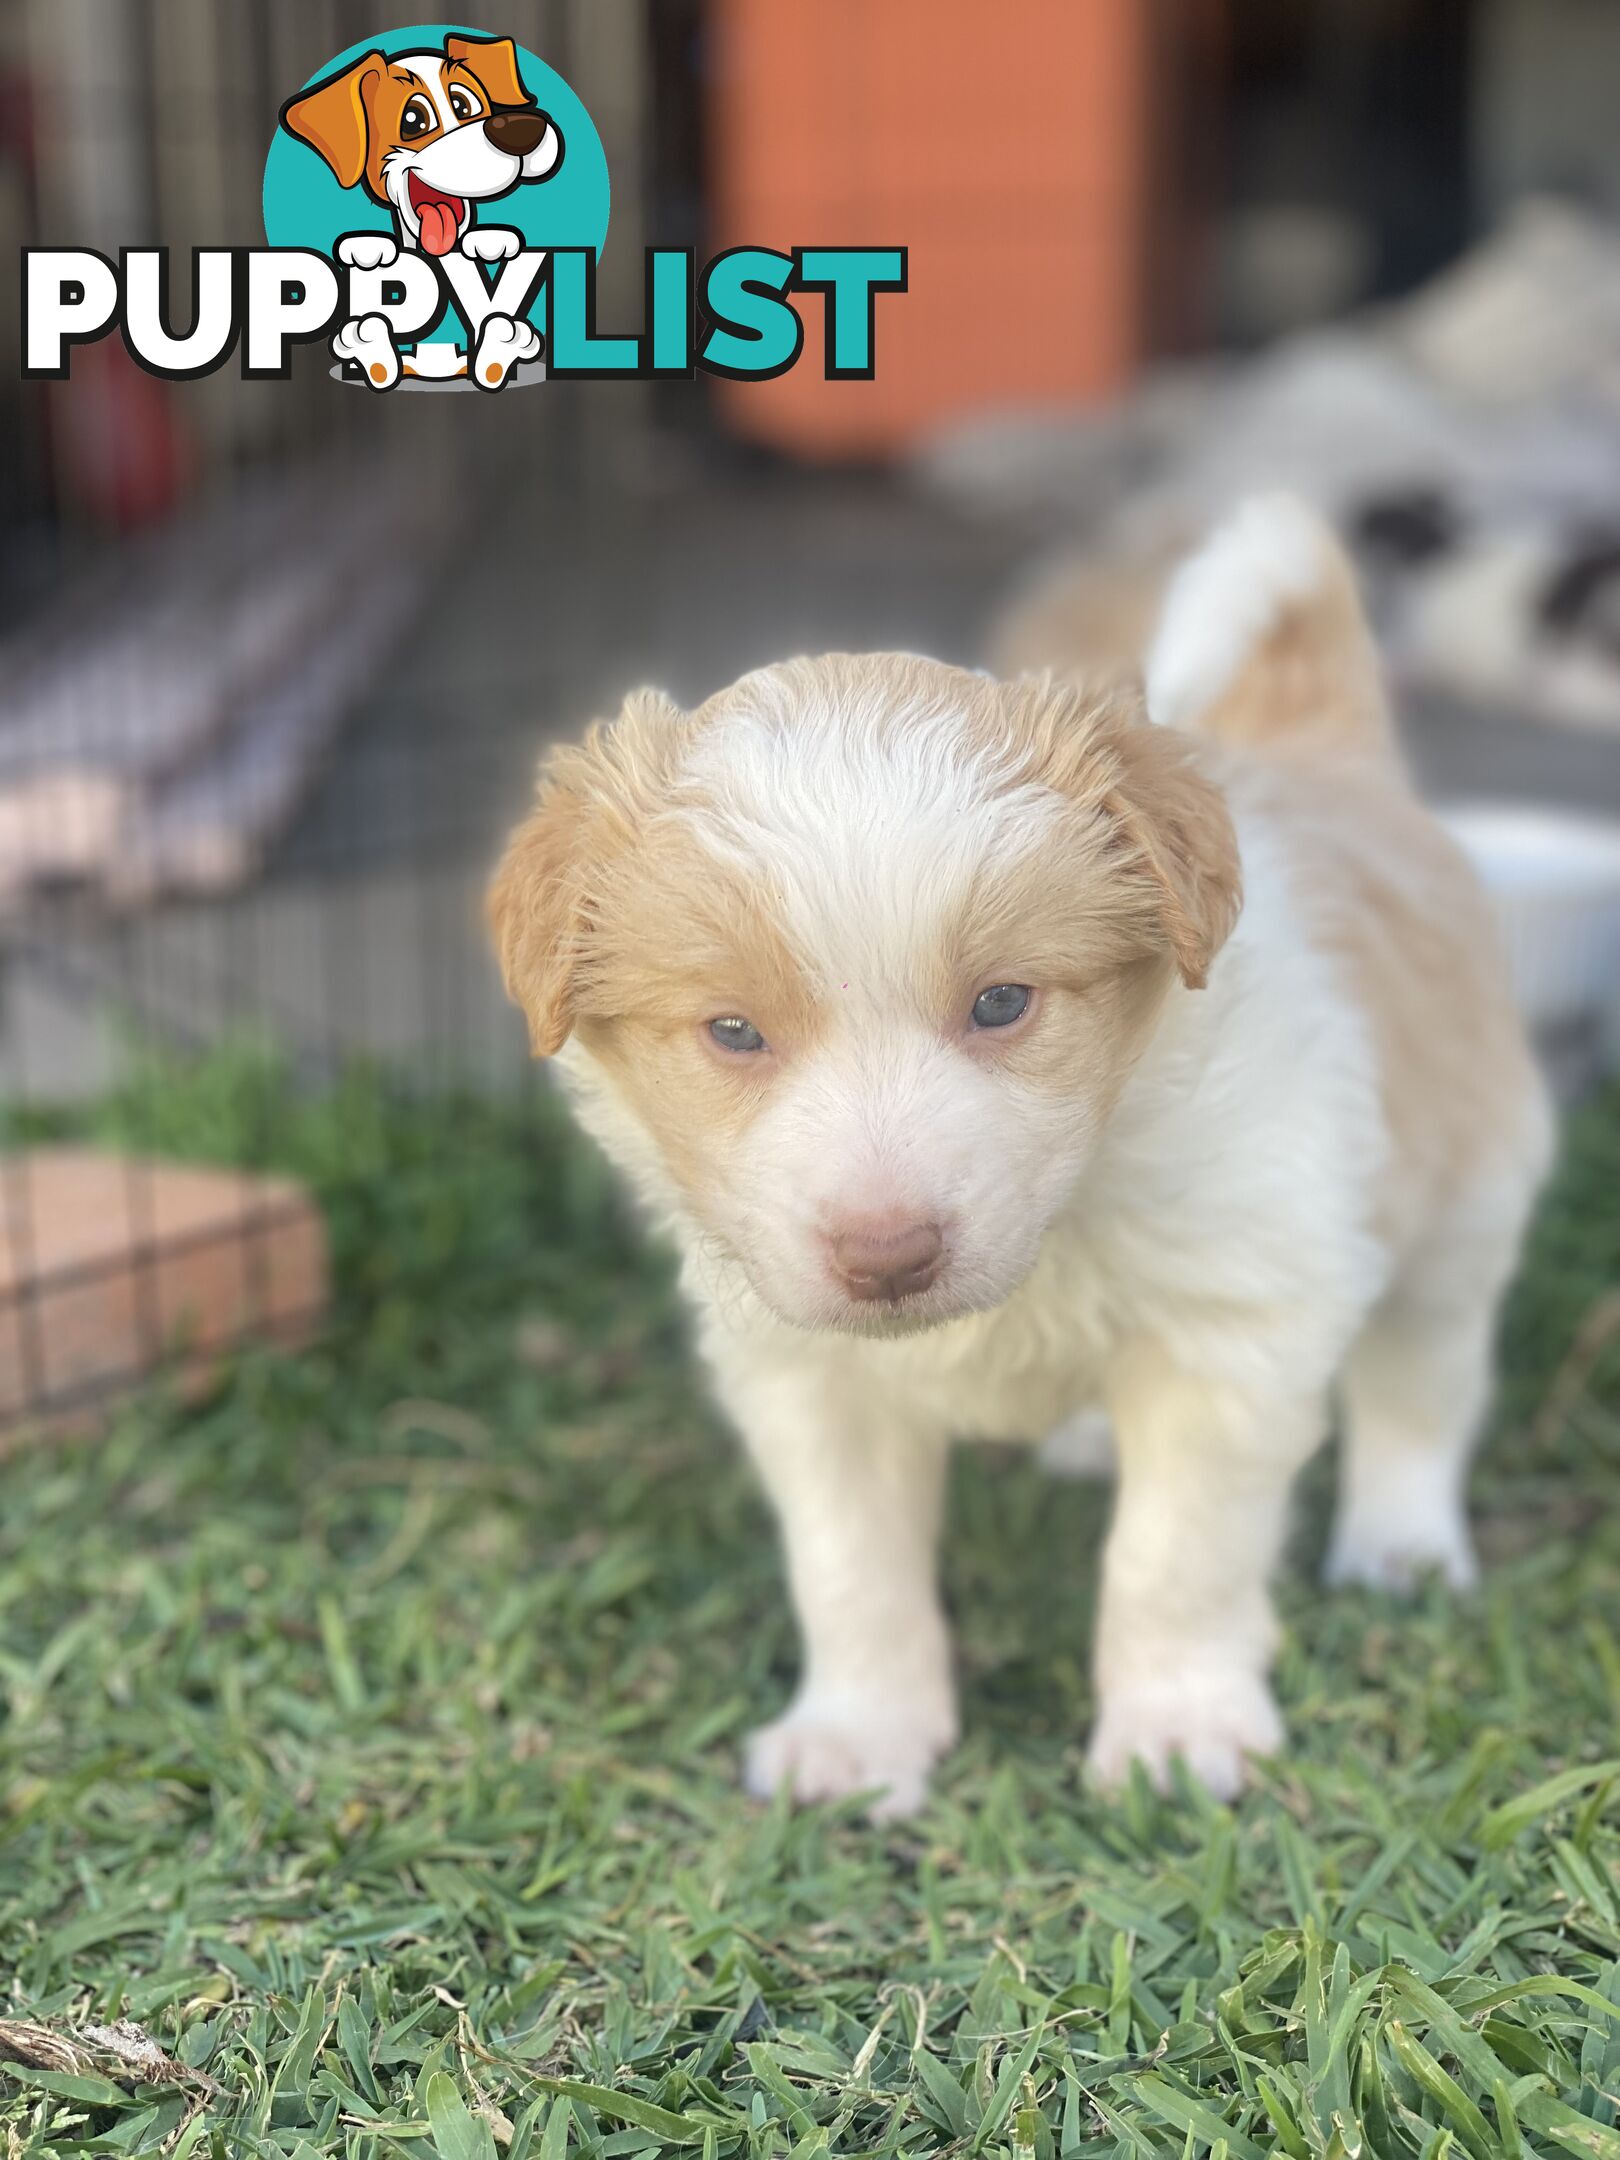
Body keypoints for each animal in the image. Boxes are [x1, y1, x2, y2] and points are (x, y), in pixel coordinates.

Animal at [488, 496, 1555, 1814]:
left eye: (1001, 1004)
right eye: (733, 1032)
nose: (888, 1254)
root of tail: (1331, 753)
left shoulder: (1235, 1324)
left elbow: (1173, 1554)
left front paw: (1174, 1731)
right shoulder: (807, 1375)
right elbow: (850, 1568)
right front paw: (859, 1739)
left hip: (1462, 1192)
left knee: (1422, 1382)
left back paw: (1401, 1546)